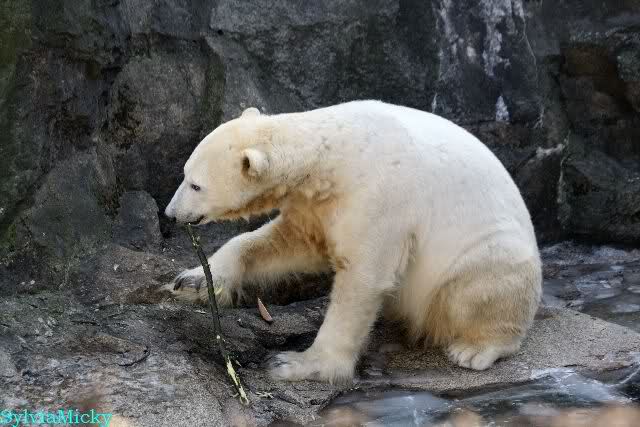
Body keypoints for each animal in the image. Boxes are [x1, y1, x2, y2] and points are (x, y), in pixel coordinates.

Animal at [163, 100, 542, 384]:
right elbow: (288, 243)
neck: (332, 154)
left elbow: (363, 277)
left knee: (479, 284)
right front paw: (193, 280)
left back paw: (475, 349)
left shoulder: (378, 197)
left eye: (195, 185)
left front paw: (294, 364)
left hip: (487, 251)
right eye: (184, 174)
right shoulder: (316, 204)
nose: (170, 213)